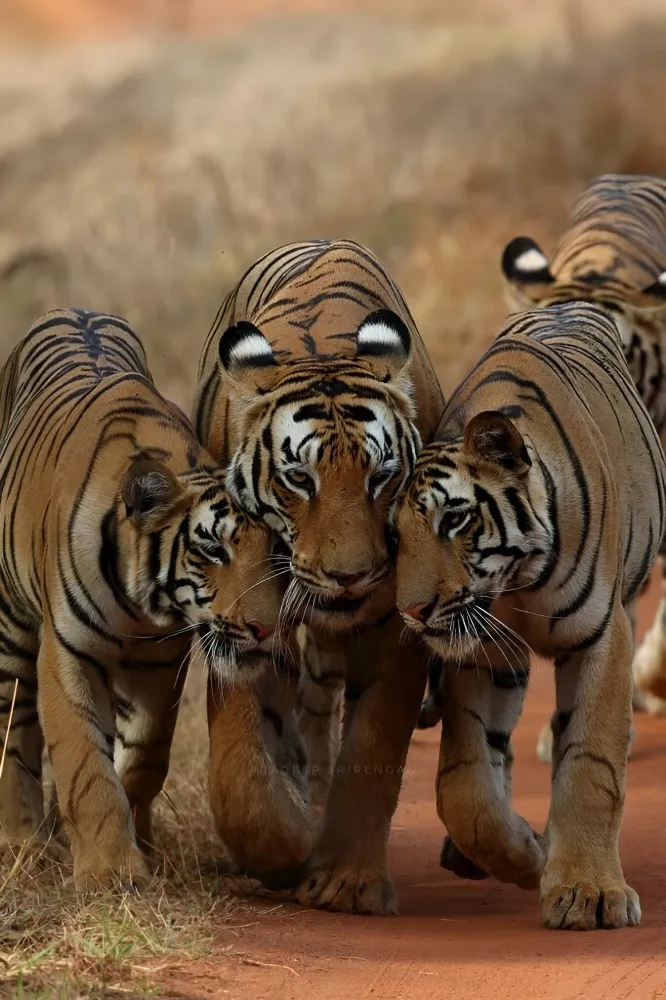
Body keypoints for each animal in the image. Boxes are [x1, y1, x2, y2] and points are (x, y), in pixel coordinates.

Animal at [0, 308, 298, 890]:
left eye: (276, 547)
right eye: (213, 549)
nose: (267, 630)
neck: (139, 608)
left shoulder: (159, 664)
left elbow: (142, 758)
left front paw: (125, 847)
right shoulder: (67, 654)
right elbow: (85, 764)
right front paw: (109, 872)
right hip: (10, 631)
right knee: (12, 731)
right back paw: (21, 839)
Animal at [194, 239, 445, 914]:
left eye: (381, 476)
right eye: (299, 479)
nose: (349, 576)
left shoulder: (399, 625)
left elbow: (375, 744)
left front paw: (347, 878)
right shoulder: (238, 615)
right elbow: (238, 768)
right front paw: (285, 850)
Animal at [395, 301, 666, 929]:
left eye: (453, 520)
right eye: (392, 536)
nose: (412, 611)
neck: (516, 581)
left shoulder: (601, 638)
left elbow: (592, 762)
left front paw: (589, 893)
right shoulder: (485, 654)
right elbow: (466, 784)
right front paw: (524, 856)